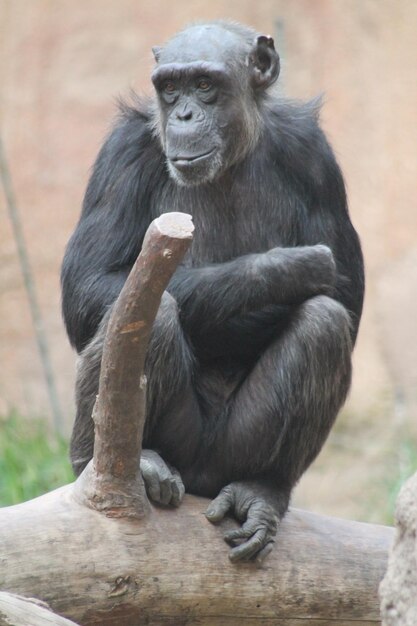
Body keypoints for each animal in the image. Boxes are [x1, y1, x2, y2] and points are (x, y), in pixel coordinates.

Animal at [61, 22, 364, 560]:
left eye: (204, 85)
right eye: (170, 88)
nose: (183, 114)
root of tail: (200, 482)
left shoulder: (315, 157)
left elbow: (347, 296)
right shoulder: (122, 153)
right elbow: (88, 283)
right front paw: (285, 268)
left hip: (232, 452)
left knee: (324, 324)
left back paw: (262, 489)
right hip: (176, 443)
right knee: (150, 310)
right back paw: (131, 462)